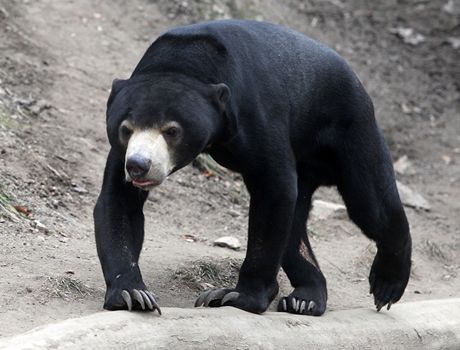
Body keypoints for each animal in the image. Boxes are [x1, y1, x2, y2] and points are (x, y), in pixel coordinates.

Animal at [94, 19, 414, 316]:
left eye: (172, 130)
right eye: (125, 129)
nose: (138, 166)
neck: (185, 63)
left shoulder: (256, 114)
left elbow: (274, 189)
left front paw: (234, 297)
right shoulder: (120, 153)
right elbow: (119, 202)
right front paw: (133, 295)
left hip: (351, 127)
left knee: (371, 204)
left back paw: (387, 285)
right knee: (295, 223)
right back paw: (306, 299)